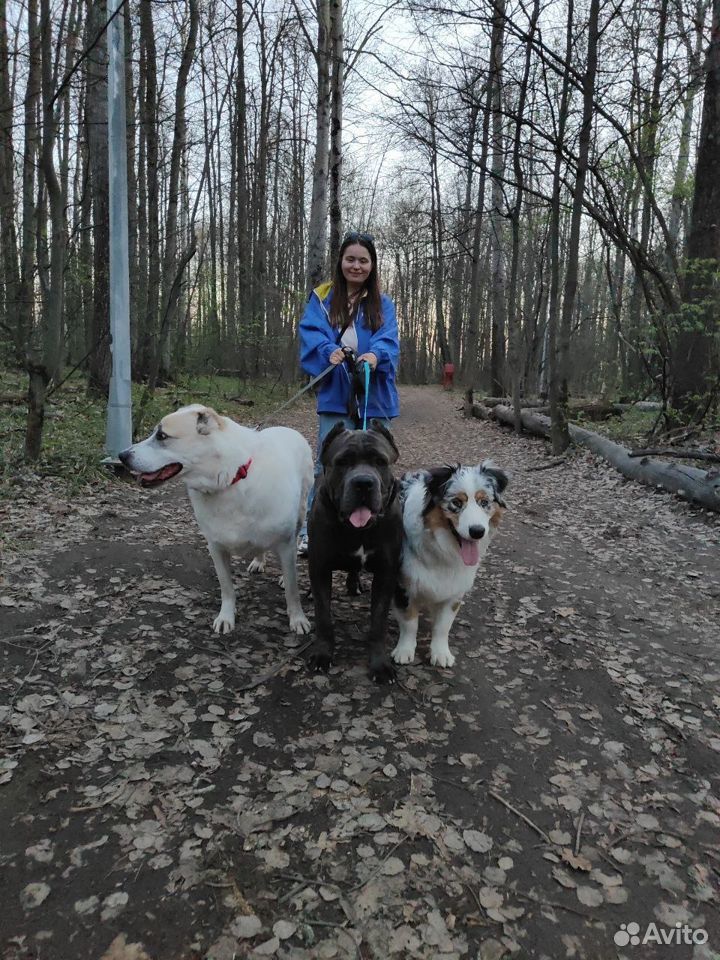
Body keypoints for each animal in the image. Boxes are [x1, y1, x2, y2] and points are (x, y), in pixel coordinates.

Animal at [119, 404, 314, 636]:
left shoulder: (285, 544)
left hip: (301, 515)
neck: (230, 478)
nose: (121, 456)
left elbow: (293, 590)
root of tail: (287, 429)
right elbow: (226, 587)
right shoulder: (215, 547)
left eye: (162, 436)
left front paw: (298, 618)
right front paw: (226, 617)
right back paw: (259, 561)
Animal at [306, 420, 402, 684]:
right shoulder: (320, 568)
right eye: (342, 462)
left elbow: (378, 623)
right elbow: (324, 617)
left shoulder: (386, 573)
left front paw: (380, 665)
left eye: (380, 461)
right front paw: (322, 654)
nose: (363, 483)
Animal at [394, 462, 506, 672]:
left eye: (484, 502)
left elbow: (443, 626)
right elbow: (409, 622)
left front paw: (440, 653)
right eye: (456, 502)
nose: (477, 531)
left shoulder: (454, 591)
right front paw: (404, 651)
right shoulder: (403, 586)